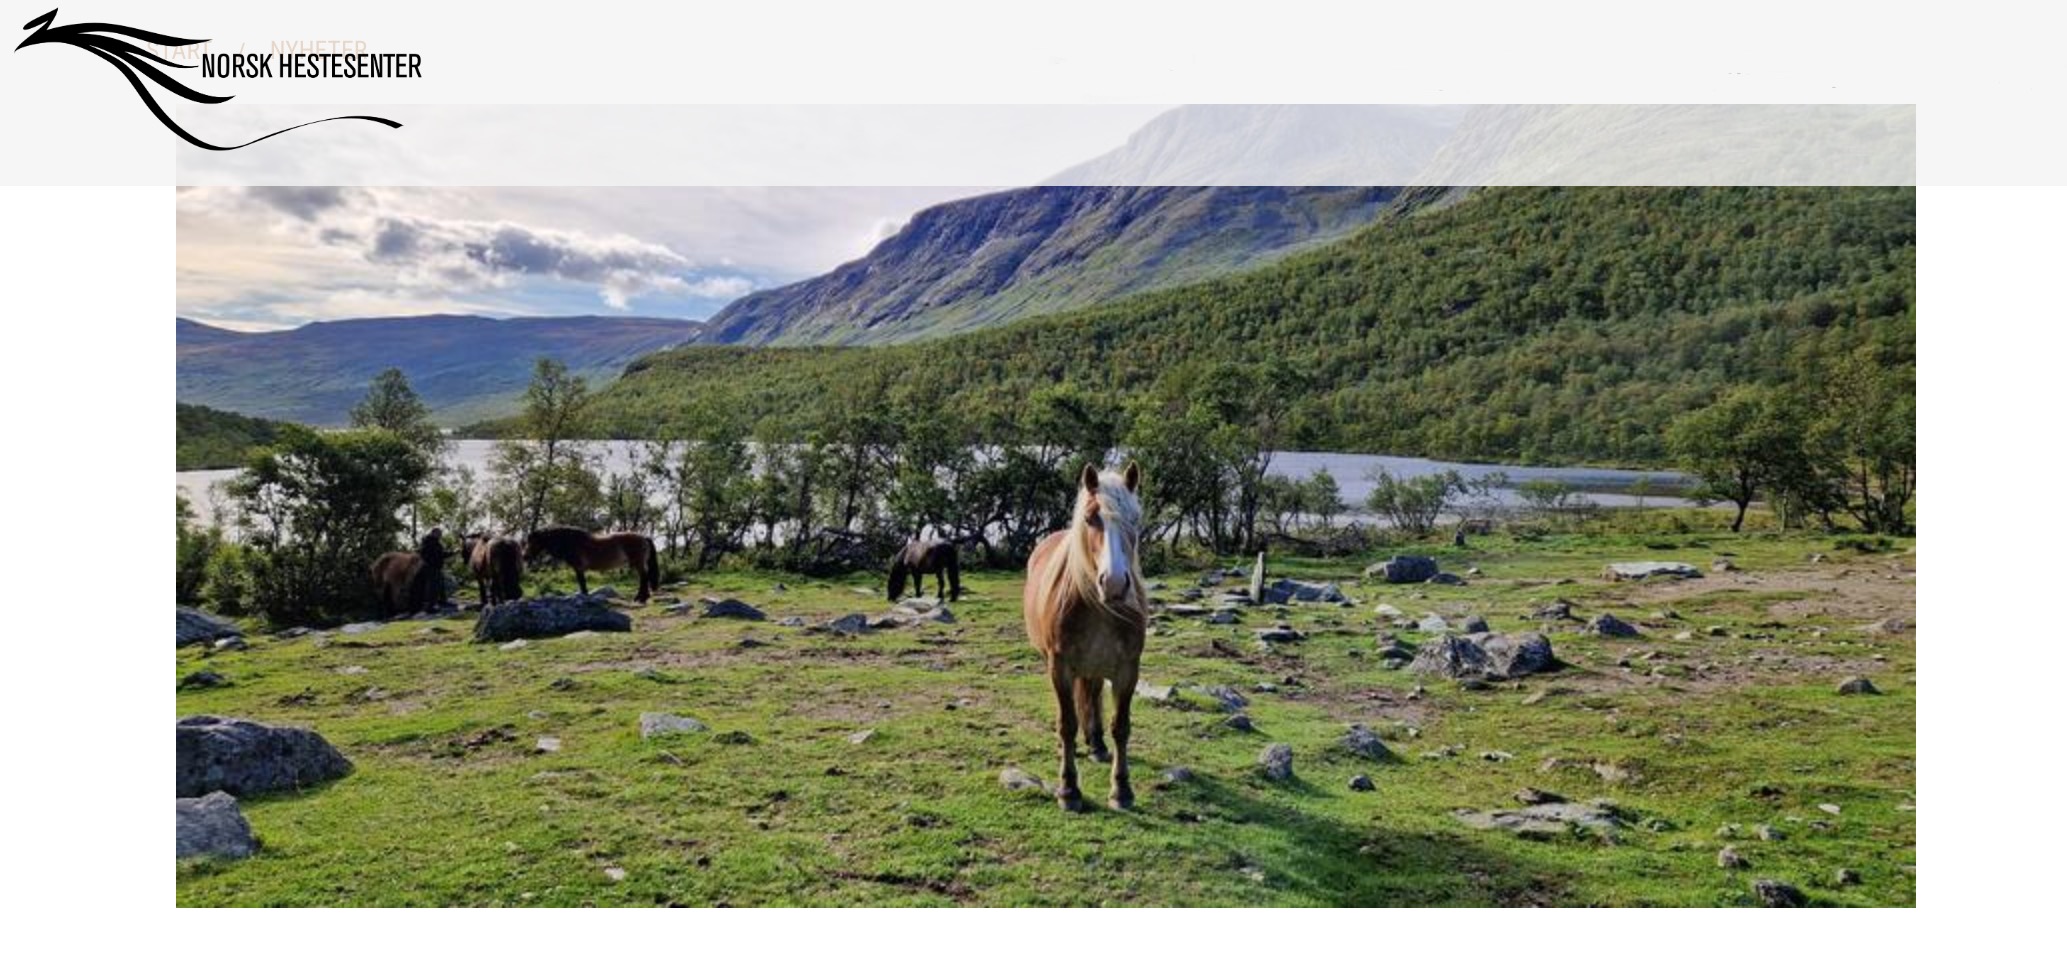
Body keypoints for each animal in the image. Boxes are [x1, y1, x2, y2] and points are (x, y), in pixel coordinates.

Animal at [525, 524, 661, 599]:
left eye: (532, 542)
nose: (525, 556)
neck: (572, 542)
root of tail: (644, 537)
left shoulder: (579, 568)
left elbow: (582, 583)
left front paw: (585, 598)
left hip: (638, 563)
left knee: (643, 578)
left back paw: (640, 598)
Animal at [1021, 460, 1149, 809]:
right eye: (1091, 518)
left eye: (1135, 519)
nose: (1115, 584)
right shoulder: (1060, 666)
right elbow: (1066, 724)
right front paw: (1069, 790)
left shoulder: (1127, 669)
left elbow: (1121, 727)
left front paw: (1122, 789)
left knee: (1091, 695)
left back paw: (1097, 745)